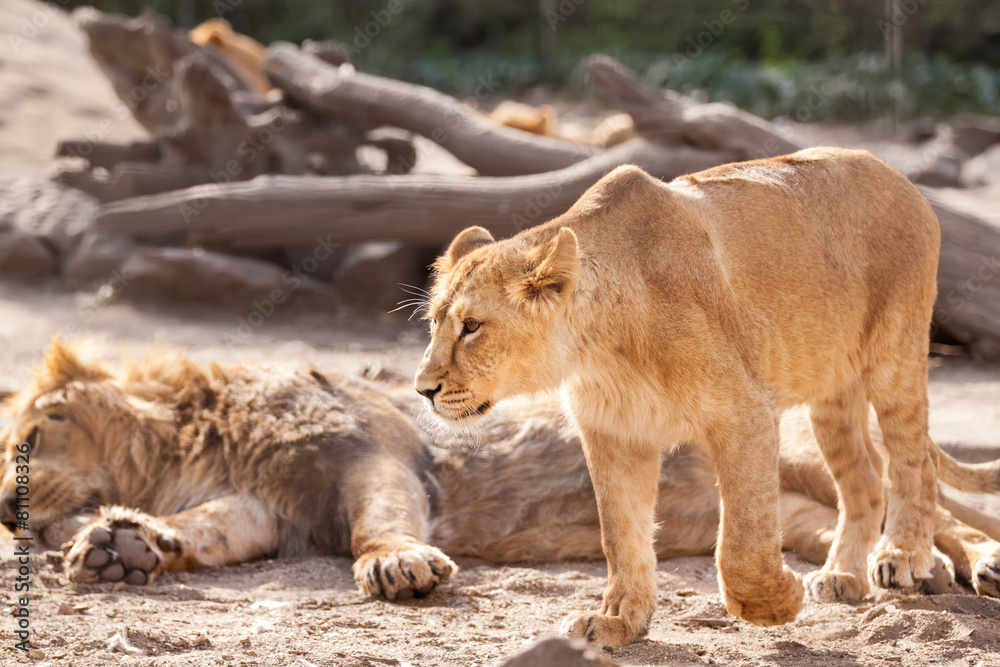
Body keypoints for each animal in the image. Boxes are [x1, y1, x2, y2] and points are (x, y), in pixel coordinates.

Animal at [1, 342, 998, 618]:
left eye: (26, 437)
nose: (10, 516)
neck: (191, 437)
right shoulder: (262, 503)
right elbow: (208, 529)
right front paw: (120, 546)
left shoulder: (372, 453)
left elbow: (377, 525)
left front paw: (399, 568)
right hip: (789, 512)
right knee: (871, 525)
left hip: (806, 449)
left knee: (934, 507)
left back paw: (950, 567)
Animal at [415, 147, 944, 645]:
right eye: (434, 322)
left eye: (472, 326)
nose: (422, 389)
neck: (600, 348)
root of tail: (891, 172)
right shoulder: (615, 434)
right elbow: (621, 536)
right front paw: (618, 621)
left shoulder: (746, 412)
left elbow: (742, 541)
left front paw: (776, 603)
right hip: (830, 391)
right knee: (865, 481)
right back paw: (841, 575)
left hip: (894, 355)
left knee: (913, 462)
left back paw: (901, 555)